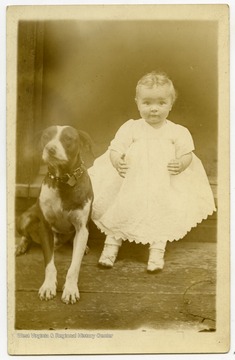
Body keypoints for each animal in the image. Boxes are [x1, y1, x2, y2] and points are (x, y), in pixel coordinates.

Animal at [16, 126, 93, 304]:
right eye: (46, 136)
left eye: (68, 138)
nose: (50, 148)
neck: (62, 180)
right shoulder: (45, 227)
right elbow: (49, 264)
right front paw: (48, 286)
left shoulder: (81, 228)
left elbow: (74, 266)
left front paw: (70, 289)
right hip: (25, 218)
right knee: (26, 235)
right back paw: (21, 245)